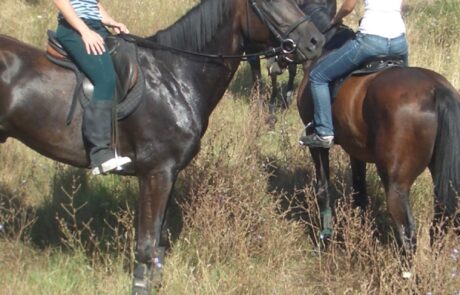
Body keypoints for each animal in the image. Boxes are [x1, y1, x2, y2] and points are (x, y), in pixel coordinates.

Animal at [0, 0, 324, 295]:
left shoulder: (170, 172)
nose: (316, 41)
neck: (175, 76)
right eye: (268, 2)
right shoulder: (156, 172)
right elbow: (146, 244)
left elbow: (161, 239)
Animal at [296, 27, 458, 256]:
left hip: (395, 181)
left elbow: (323, 189)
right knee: (440, 222)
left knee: (407, 233)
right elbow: (359, 192)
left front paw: (324, 240)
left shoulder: (317, 145)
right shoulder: (356, 150)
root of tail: (436, 90)